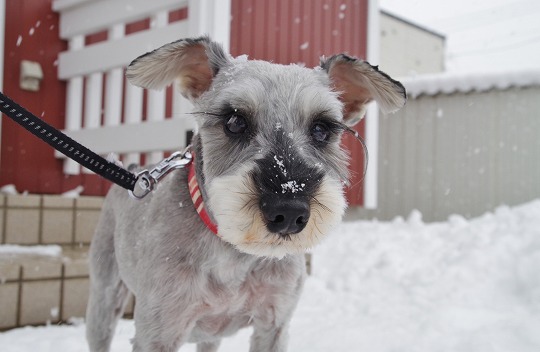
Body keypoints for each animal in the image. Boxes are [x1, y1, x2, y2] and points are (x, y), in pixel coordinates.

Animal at [85, 36, 404, 352]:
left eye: (321, 128)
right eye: (234, 121)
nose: (289, 211)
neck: (234, 250)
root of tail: (134, 171)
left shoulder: (274, 325)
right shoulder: (157, 332)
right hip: (104, 297)